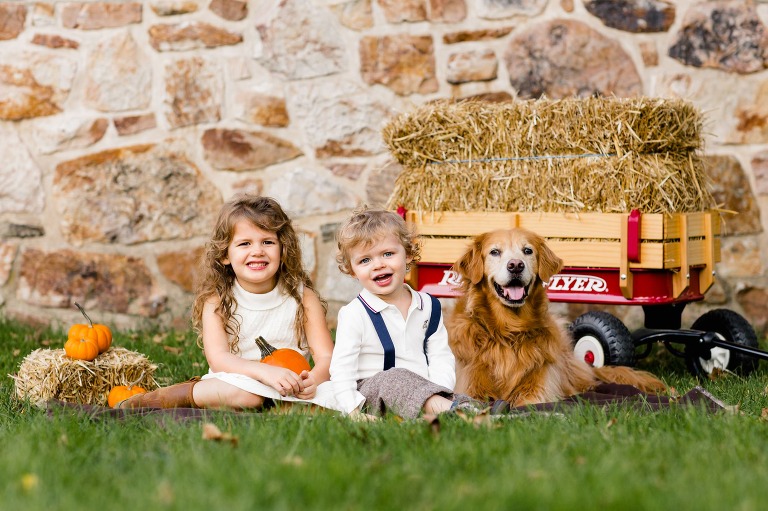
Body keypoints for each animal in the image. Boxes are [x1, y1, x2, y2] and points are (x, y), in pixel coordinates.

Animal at [444, 228, 664, 408]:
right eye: (495, 252)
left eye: (527, 251)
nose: (516, 265)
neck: (509, 329)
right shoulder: (469, 387)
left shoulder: (539, 388)